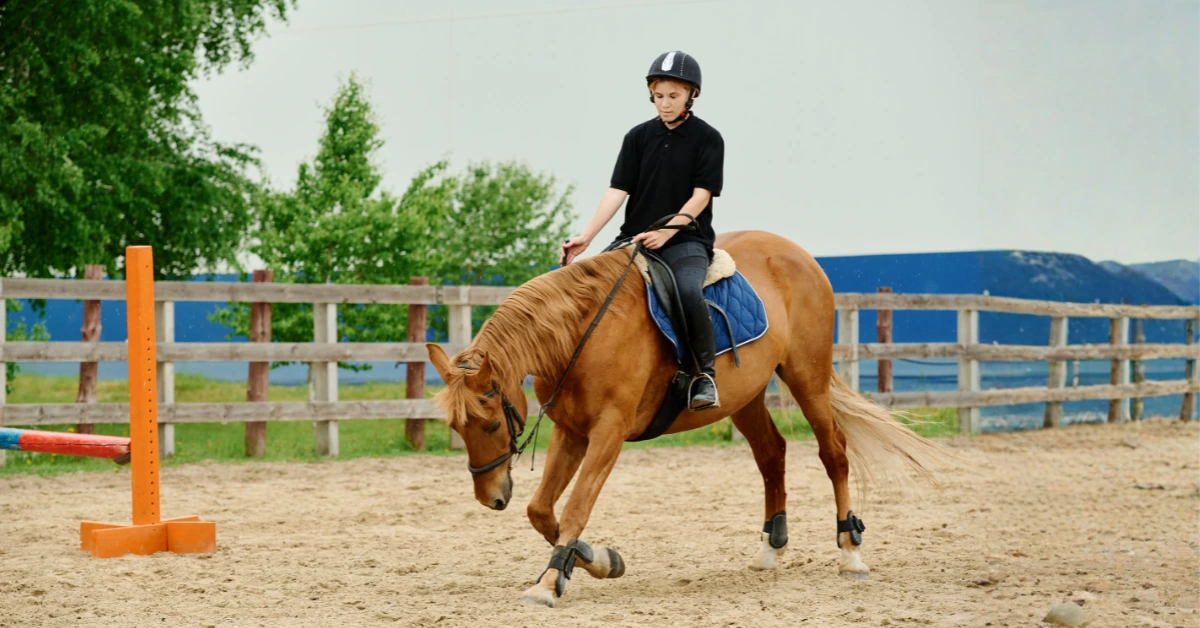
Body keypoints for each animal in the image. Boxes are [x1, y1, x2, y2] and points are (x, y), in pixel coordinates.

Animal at [426, 230, 948, 607]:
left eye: (491, 425)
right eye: (457, 429)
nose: (491, 498)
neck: (583, 331)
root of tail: (797, 253)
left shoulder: (608, 433)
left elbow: (574, 508)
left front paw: (552, 580)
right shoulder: (571, 430)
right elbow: (542, 510)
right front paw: (598, 558)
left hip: (808, 377)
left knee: (833, 453)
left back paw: (850, 553)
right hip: (745, 396)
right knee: (771, 454)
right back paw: (771, 548)